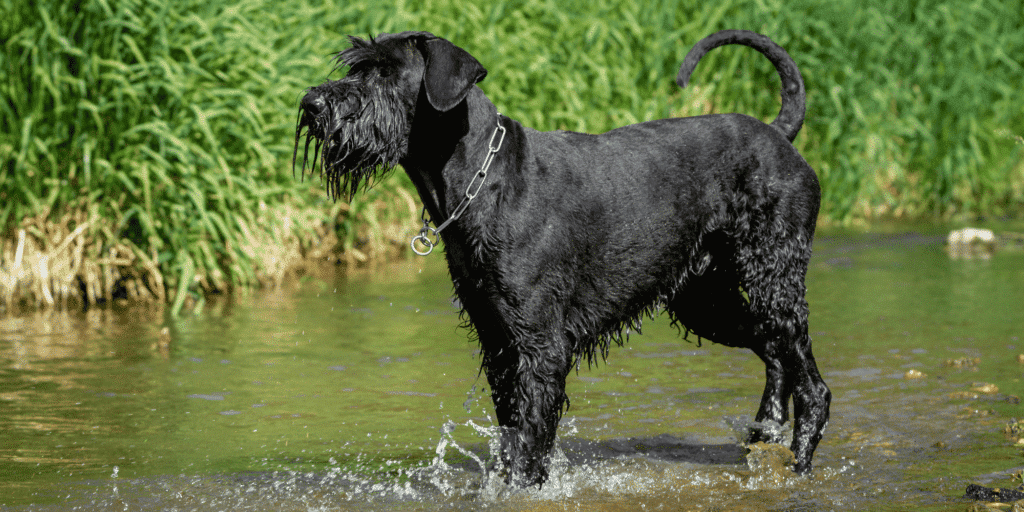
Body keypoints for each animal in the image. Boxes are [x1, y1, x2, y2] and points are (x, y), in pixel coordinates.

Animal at [294, 29, 831, 485]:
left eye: (386, 71)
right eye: (356, 66)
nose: (312, 103)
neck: (482, 179)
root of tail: (780, 135)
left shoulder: (540, 346)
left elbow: (531, 442)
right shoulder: (499, 343)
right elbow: (512, 432)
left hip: (774, 280)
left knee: (812, 385)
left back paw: (799, 462)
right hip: (706, 303)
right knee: (773, 352)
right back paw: (764, 435)